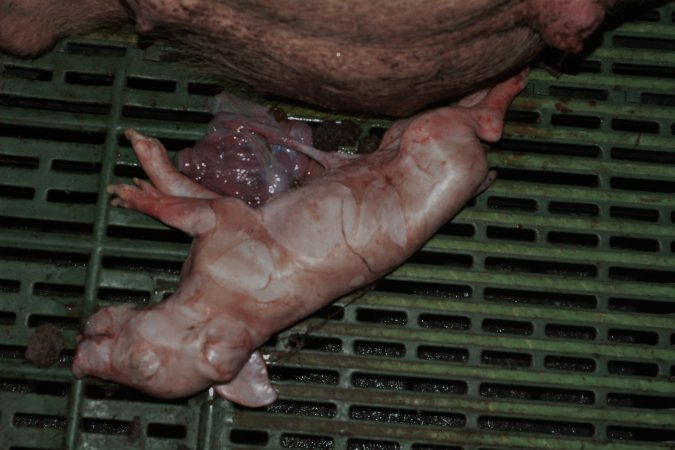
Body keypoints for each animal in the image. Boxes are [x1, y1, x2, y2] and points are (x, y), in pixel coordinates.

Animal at [71, 70, 527, 407]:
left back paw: (514, 81)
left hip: (434, 135)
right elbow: (189, 193)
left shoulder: (225, 226)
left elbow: (186, 202)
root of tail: (482, 166)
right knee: (449, 118)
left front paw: (131, 184)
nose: (76, 361)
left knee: (482, 124)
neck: (218, 307)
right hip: (406, 133)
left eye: (139, 365)